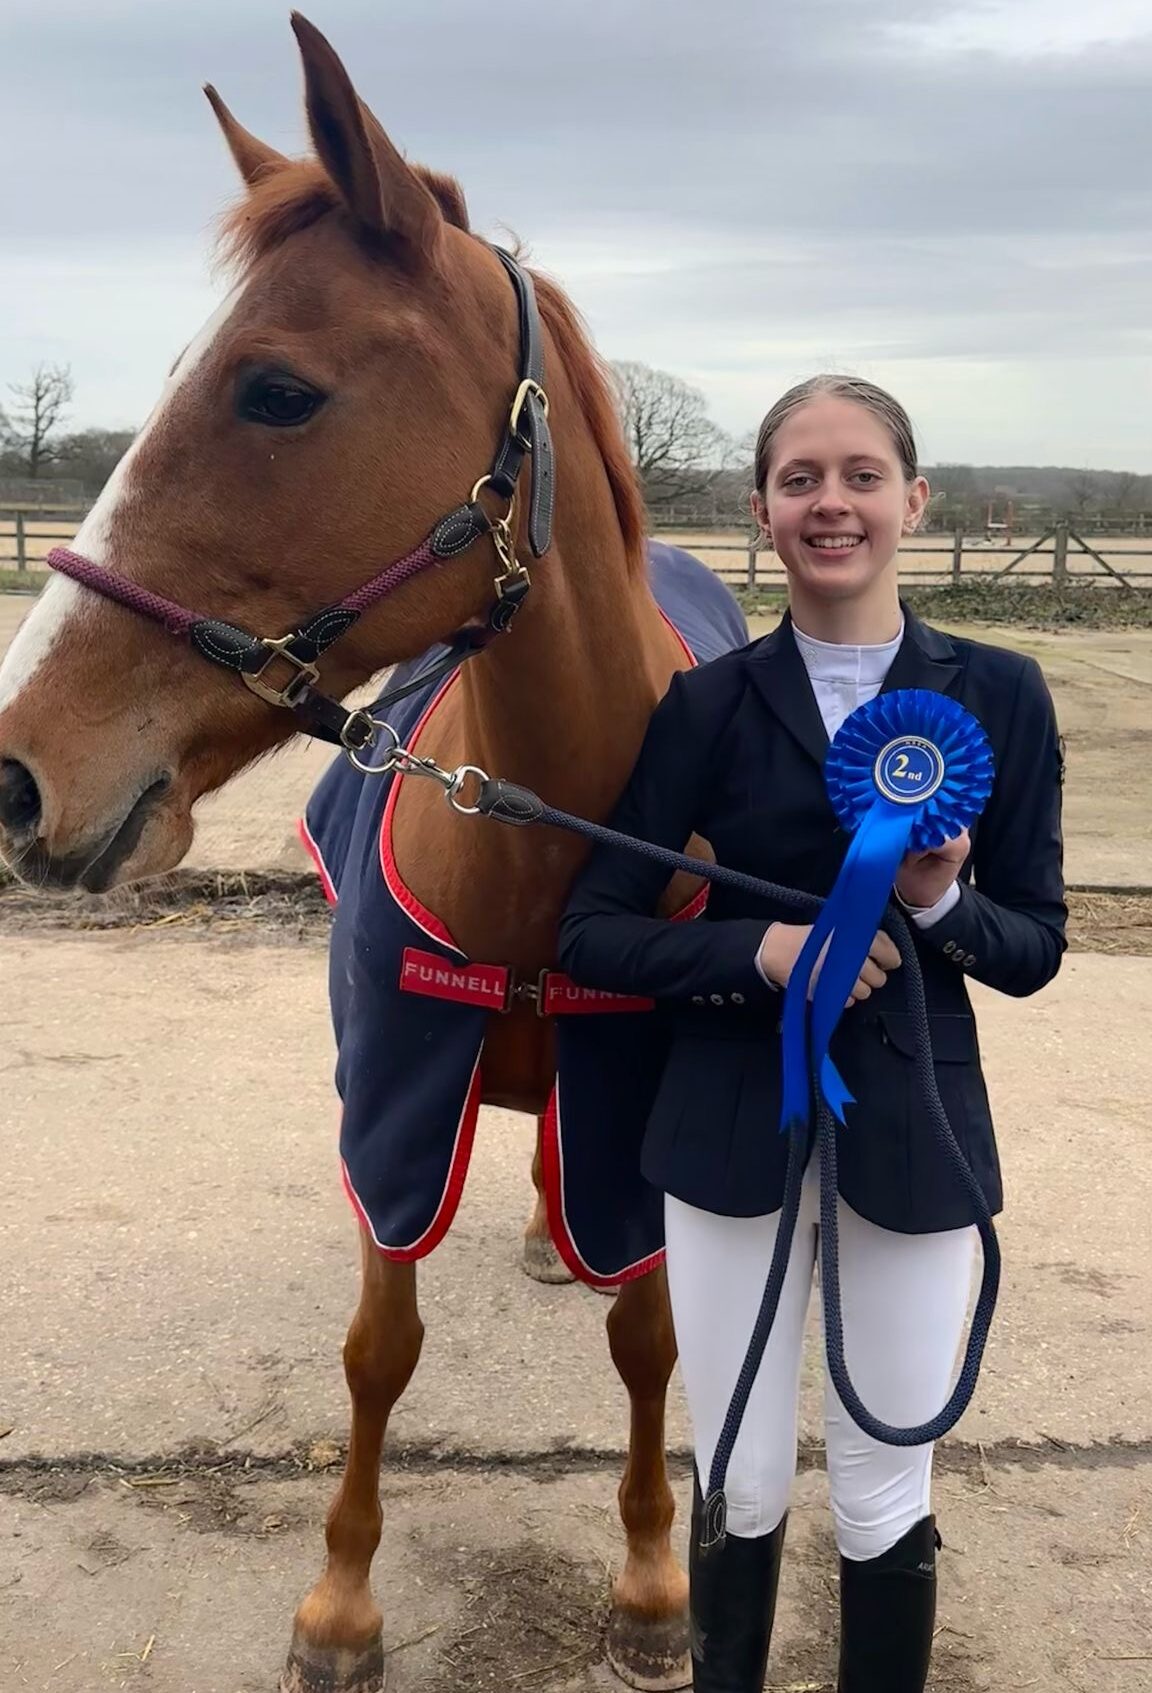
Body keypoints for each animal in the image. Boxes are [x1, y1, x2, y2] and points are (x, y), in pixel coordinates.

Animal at [0, 16, 745, 1693]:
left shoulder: (636, 1100)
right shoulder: (395, 1091)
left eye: (275, 390)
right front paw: (340, 1602)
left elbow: (648, 1339)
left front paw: (653, 1579)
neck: (544, 844)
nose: (14, 772)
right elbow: (378, 1346)